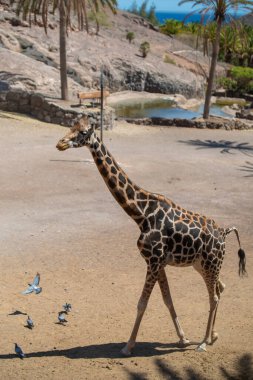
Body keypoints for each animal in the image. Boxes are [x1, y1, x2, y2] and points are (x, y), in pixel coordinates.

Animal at [55, 117, 247, 354]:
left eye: (82, 132)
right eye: (70, 127)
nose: (60, 144)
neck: (140, 214)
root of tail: (225, 232)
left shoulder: (153, 261)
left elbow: (142, 303)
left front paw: (128, 346)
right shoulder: (159, 262)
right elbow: (167, 299)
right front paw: (183, 338)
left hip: (212, 263)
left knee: (214, 296)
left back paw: (203, 343)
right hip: (201, 265)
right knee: (221, 287)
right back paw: (212, 336)